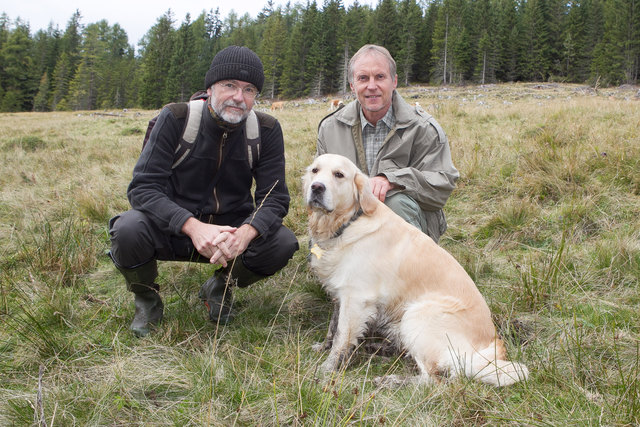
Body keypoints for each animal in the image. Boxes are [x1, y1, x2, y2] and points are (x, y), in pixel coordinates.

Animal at [302, 154, 528, 388]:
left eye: (339, 174)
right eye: (315, 171)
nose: (316, 187)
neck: (346, 223)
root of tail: (487, 349)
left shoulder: (356, 299)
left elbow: (341, 338)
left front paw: (327, 369)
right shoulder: (341, 297)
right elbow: (332, 329)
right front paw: (323, 348)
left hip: (416, 315)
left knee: (434, 380)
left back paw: (390, 380)